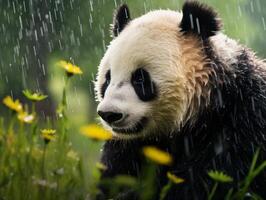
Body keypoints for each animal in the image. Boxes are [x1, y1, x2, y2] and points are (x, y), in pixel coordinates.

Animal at [95, 0, 266, 199]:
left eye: (140, 79)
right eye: (107, 79)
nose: (110, 114)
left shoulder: (244, 120)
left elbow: (204, 181)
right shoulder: (129, 145)